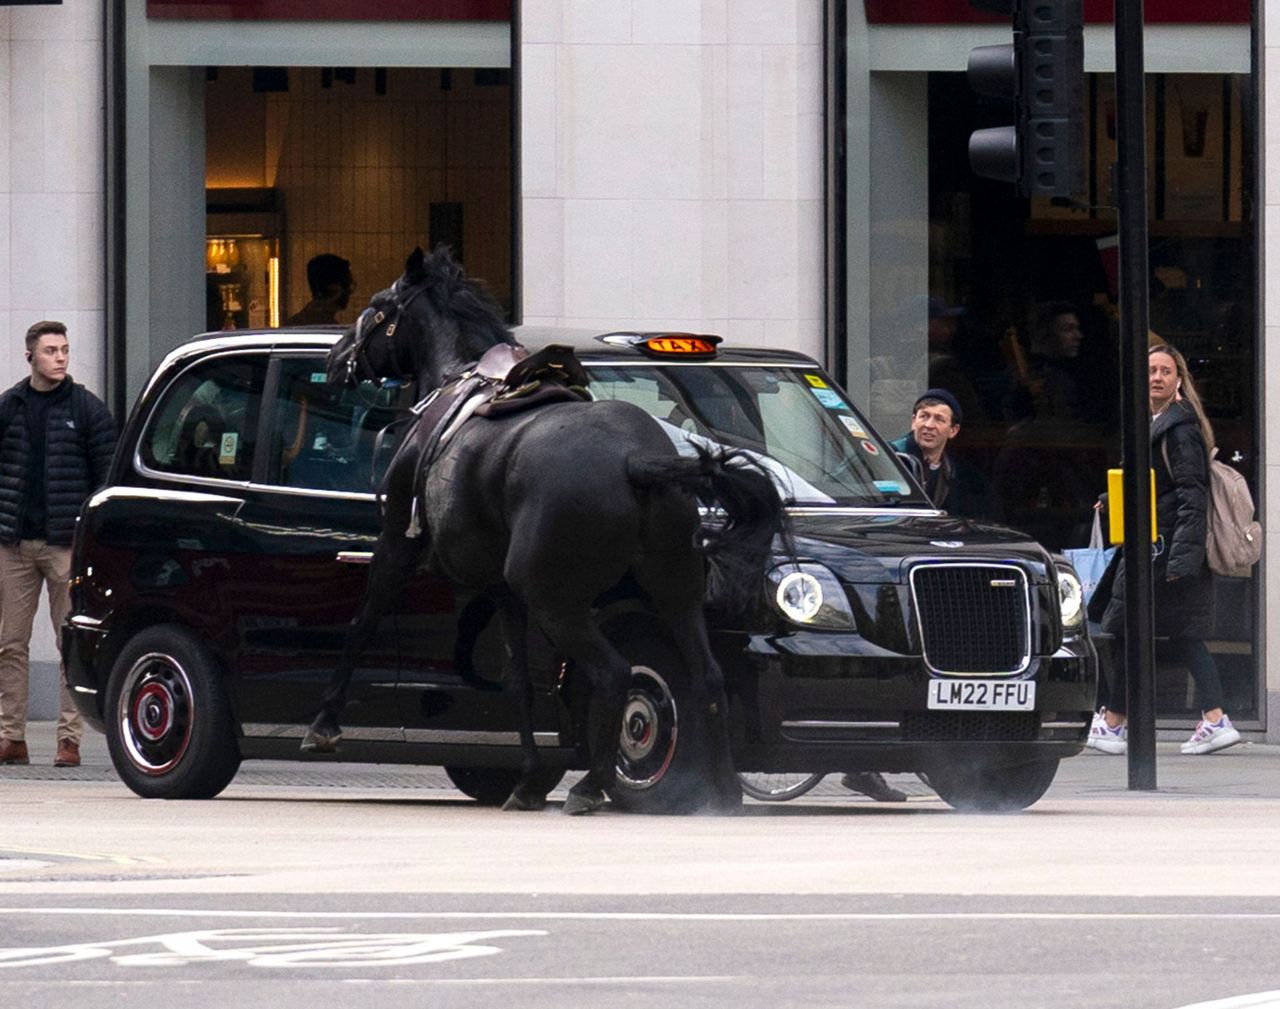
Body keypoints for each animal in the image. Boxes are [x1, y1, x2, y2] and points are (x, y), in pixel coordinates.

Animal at [307, 248, 788, 814]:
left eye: (379, 305)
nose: (336, 359)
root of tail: (634, 460)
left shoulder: (397, 547)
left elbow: (361, 625)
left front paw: (323, 723)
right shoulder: (500, 586)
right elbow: (519, 681)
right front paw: (530, 778)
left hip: (556, 600)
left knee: (614, 673)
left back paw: (590, 785)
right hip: (674, 589)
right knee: (706, 676)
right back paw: (722, 790)